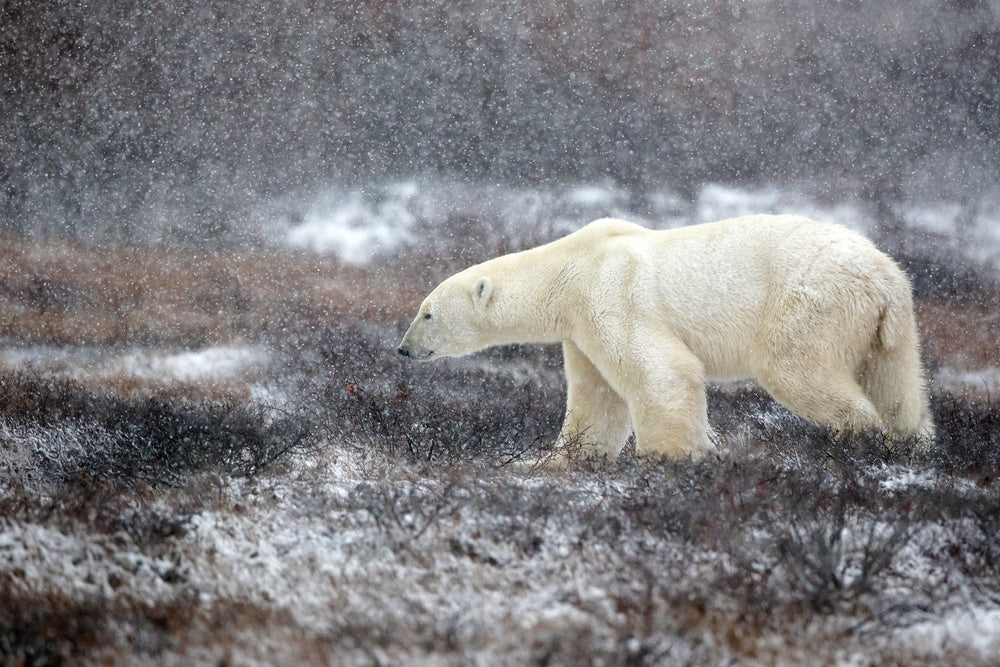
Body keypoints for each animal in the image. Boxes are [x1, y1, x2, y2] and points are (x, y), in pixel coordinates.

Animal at [397, 215, 934, 462]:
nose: (402, 349)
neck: (573, 265)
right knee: (898, 384)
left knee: (794, 366)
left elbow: (661, 373)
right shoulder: (580, 329)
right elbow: (598, 400)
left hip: (812, 300)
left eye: (427, 313)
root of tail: (885, 277)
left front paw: (667, 458)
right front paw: (558, 462)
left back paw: (856, 438)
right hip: (888, 326)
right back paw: (911, 444)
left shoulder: (612, 295)